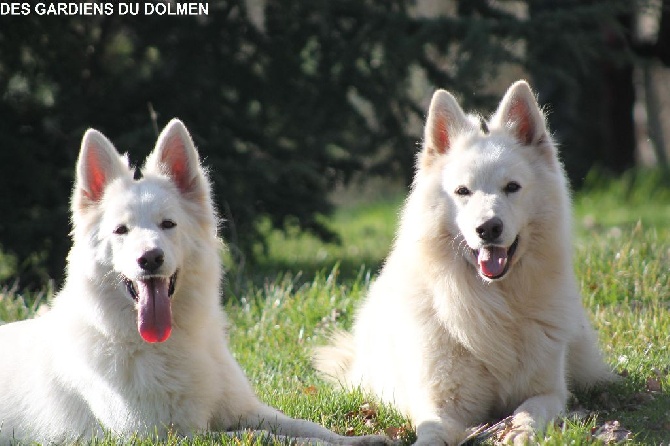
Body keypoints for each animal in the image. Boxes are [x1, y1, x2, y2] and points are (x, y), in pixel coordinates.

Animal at [0, 120, 388, 444]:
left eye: (168, 224)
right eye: (121, 230)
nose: (150, 258)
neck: (169, 344)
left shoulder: (245, 409)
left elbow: (307, 426)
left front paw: (362, 439)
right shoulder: (173, 436)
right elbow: (274, 438)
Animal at [318, 82, 616, 444]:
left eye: (512, 187)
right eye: (463, 191)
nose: (488, 228)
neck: (491, 304)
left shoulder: (548, 392)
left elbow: (529, 412)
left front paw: (519, 432)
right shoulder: (440, 405)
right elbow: (431, 433)